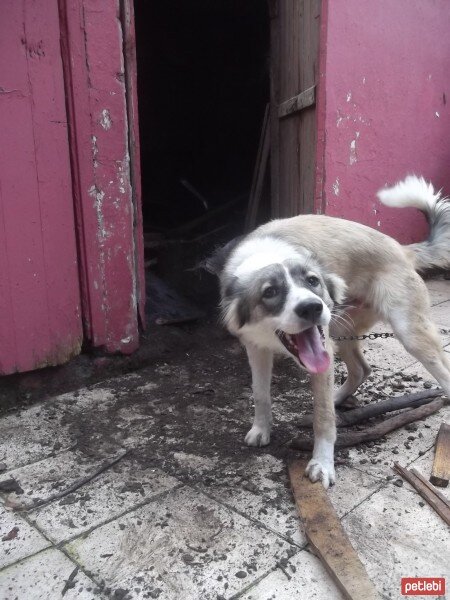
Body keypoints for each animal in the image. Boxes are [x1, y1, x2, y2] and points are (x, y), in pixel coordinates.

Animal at [207, 175, 450, 488]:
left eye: (313, 281)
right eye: (270, 292)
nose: (312, 307)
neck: (266, 256)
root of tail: (402, 248)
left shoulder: (321, 350)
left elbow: (322, 419)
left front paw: (322, 464)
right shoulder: (256, 347)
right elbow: (260, 394)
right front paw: (261, 429)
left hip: (410, 335)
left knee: (442, 370)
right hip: (339, 331)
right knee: (361, 369)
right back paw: (338, 397)